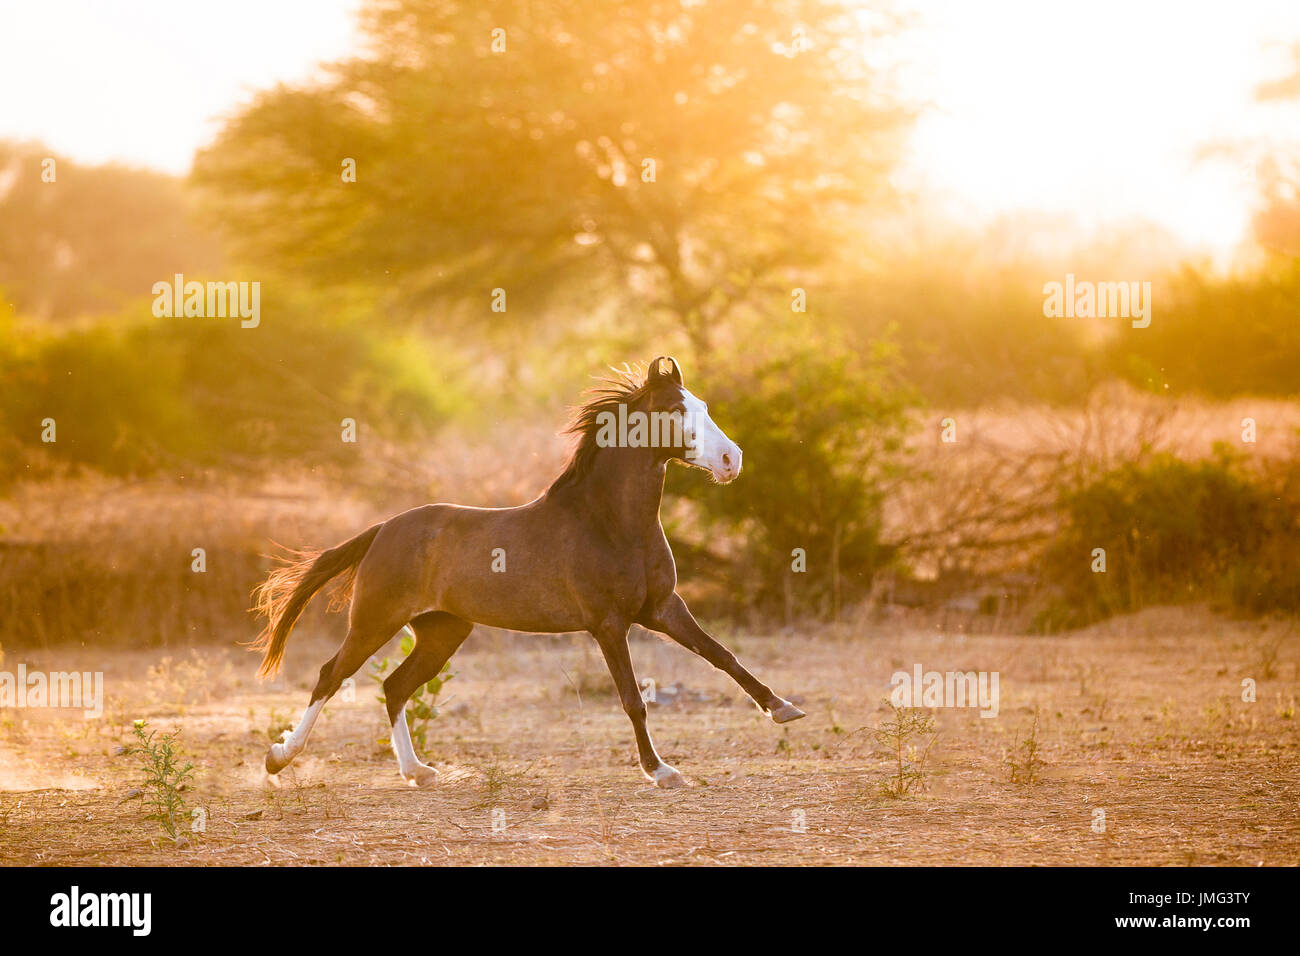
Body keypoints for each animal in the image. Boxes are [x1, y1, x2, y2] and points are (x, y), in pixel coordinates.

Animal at [251, 355, 805, 789]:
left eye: (704, 407)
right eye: (673, 410)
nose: (732, 460)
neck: (610, 523)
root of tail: (384, 529)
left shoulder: (663, 608)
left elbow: (722, 655)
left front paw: (783, 708)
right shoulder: (608, 624)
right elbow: (632, 699)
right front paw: (660, 770)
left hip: (442, 632)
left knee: (393, 687)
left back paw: (418, 772)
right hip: (375, 621)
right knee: (331, 675)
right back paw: (279, 759)